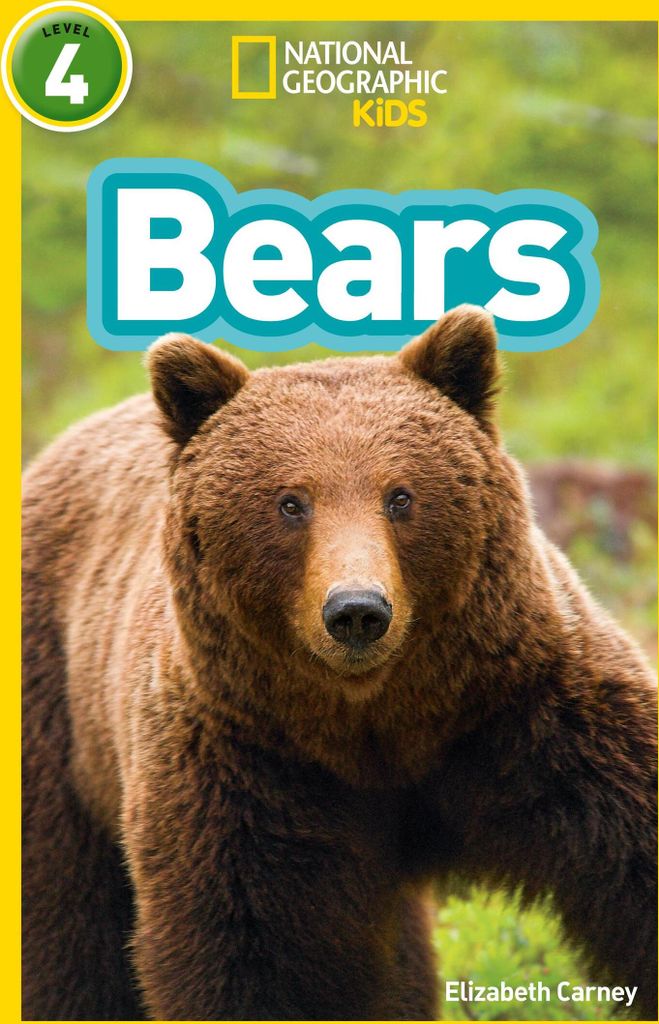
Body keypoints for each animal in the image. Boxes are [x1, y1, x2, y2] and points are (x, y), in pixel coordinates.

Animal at [22, 305, 657, 1022]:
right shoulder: (245, 769)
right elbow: (246, 954)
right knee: (70, 920)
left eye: (400, 495)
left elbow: (633, 856)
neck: (374, 722)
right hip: (56, 718)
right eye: (290, 502)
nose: (356, 610)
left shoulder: (531, 712)